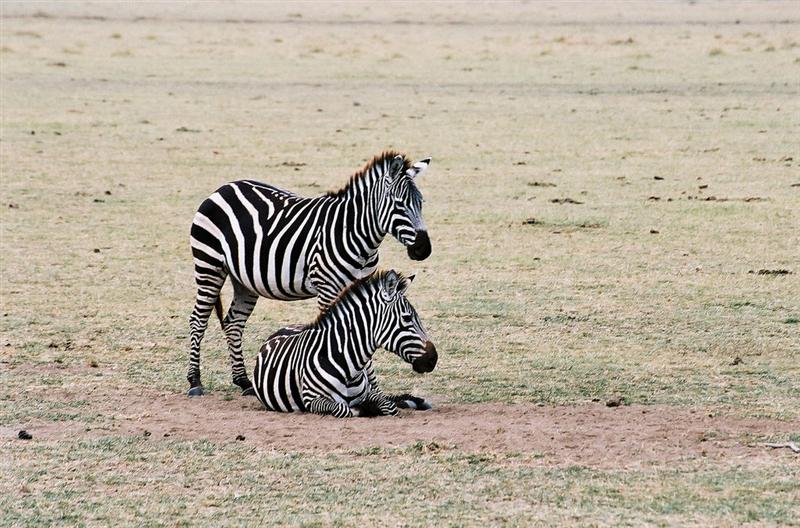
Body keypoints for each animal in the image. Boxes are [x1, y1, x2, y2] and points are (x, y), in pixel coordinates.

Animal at [188, 151, 432, 396]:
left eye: (421, 204)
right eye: (399, 205)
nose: (424, 249)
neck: (354, 232)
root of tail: (225, 187)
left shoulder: (364, 287)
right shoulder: (328, 289)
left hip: (244, 280)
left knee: (234, 322)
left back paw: (244, 381)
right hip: (209, 265)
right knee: (198, 320)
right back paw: (195, 381)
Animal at [253, 270, 437, 417]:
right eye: (407, 318)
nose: (433, 359)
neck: (349, 368)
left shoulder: (367, 393)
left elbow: (388, 404)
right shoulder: (311, 399)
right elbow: (344, 409)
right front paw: (366, 409)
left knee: (383, 393)